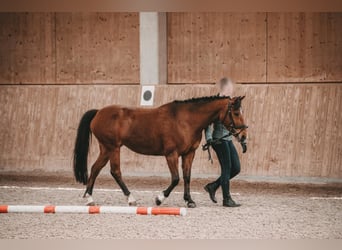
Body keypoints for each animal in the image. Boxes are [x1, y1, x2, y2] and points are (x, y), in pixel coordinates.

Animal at [73, 94, 247, 208]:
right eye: (236, 113)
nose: (244, 135)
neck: (185, 120)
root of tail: (98, 112)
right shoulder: (171, 154)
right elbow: (176, 179)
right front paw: (159, 199)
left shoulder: (189, 154)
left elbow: (187, 177)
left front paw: (189, 200)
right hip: (113, 148)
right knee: (115, 171)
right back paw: (130, 199)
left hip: (106, 149)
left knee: (95, 168)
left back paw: (90, 199)